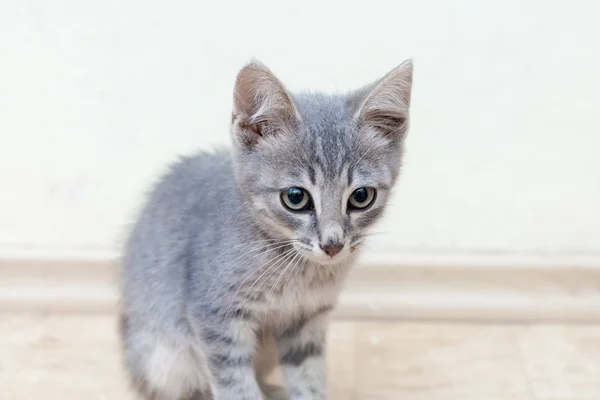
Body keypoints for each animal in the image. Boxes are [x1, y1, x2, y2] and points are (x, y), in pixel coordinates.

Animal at [120, 59, 414, 400]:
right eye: (296, 197)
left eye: (361, 196)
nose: (333, 244)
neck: (296, 269)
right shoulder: (215, 316)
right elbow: (236, 388)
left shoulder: (306, 321)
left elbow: (308, 379)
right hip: (162, 355)